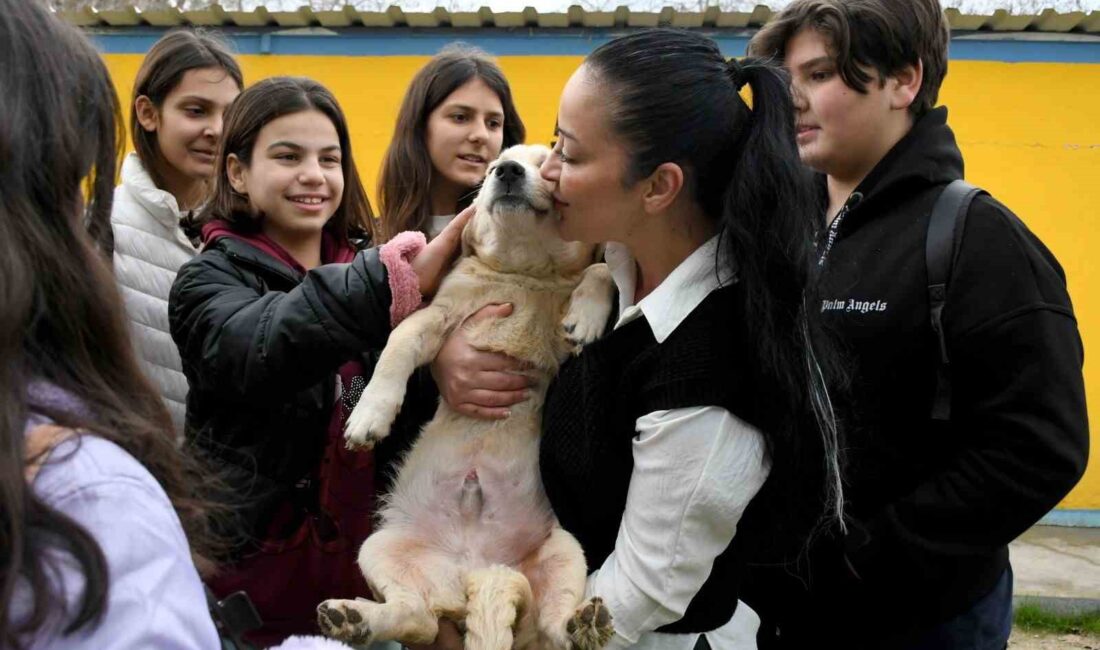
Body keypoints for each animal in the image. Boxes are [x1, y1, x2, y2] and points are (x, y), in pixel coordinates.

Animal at [319, 146, 616, 650]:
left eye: (548, 162)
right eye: (496, 162)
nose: (507, 172)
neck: (521, 272)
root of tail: (472, 576)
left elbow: (603, 268)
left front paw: (587, 315)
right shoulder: (435, 316)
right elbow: (398, 343)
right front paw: (369, 417)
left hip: (565, 549)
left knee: (552, 630)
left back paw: (584, 625)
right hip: (379, 546)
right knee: (416, 617)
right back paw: (353, 618)